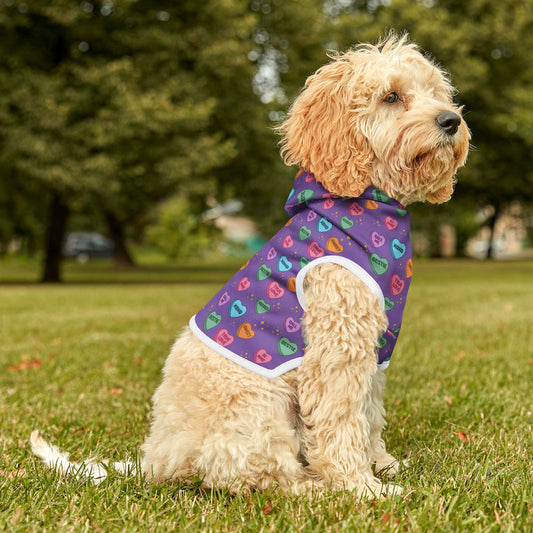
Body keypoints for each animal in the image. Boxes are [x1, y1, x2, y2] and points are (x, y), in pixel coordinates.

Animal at [31, 35, 468, 496]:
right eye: (391, 96)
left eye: (436, 92)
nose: (451, 120)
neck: (367, 206)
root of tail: (156, 460)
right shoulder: (337, 348)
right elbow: (342, 422)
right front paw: (361, 487)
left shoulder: (373, 352)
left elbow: (369, 415)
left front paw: (382, 464)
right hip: (259, 409)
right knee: (258, 476)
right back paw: (313, 486)